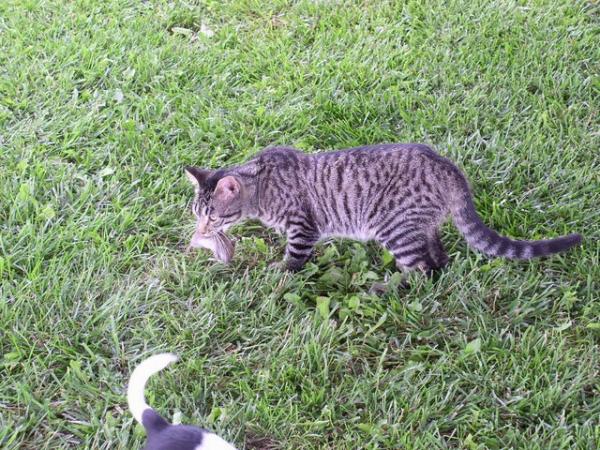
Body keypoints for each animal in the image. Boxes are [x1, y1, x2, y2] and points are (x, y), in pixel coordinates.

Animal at [186, 144, 580, 272]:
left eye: (213, 215)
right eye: (197, 213)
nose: (202, 231)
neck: (262, 184)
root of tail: (447, 167)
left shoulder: (303, 228)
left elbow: (293, 260)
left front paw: (278, 277)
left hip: (394, 227)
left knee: (421, 271)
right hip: (419, 223)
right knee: (438, 260)